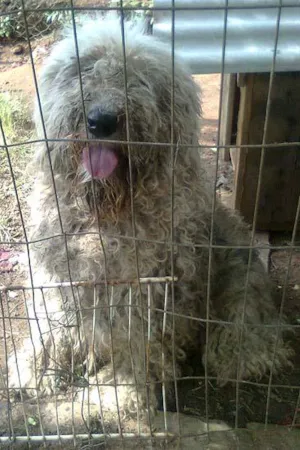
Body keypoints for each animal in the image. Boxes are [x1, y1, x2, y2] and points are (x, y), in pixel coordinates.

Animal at [8, 17, 290, 418]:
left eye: (141, 79)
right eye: (84, 67)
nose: (101, 121)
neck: (105, 214)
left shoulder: (150, 290)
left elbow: (139, 343)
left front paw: (117, 392)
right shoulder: (60, 276)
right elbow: (52, 326)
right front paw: (35, 367)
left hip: (237, 273)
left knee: (247, 325)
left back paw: (240, 353)